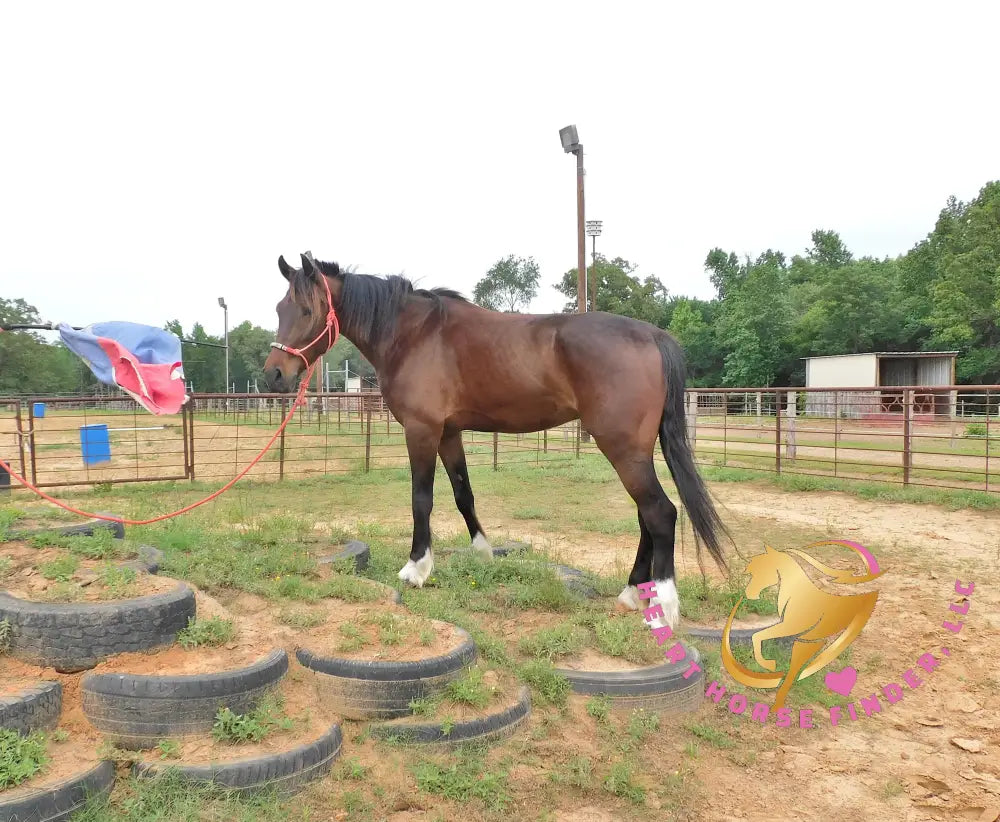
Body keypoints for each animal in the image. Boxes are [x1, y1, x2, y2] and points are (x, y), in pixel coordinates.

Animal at [262, 253, 730, 629]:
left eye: (307, 310)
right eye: (279, 307)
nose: (274, 376)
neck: (412, 334)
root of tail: (653, 335)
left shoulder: (421, 430)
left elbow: (421, 499)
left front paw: (416, 568)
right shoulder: (449, 432)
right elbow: (463, 494)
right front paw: (483, 553)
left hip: (622, 448)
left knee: (660, 513)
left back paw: (662, 607)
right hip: (633, 451)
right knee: (646, 515)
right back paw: (633, 593)